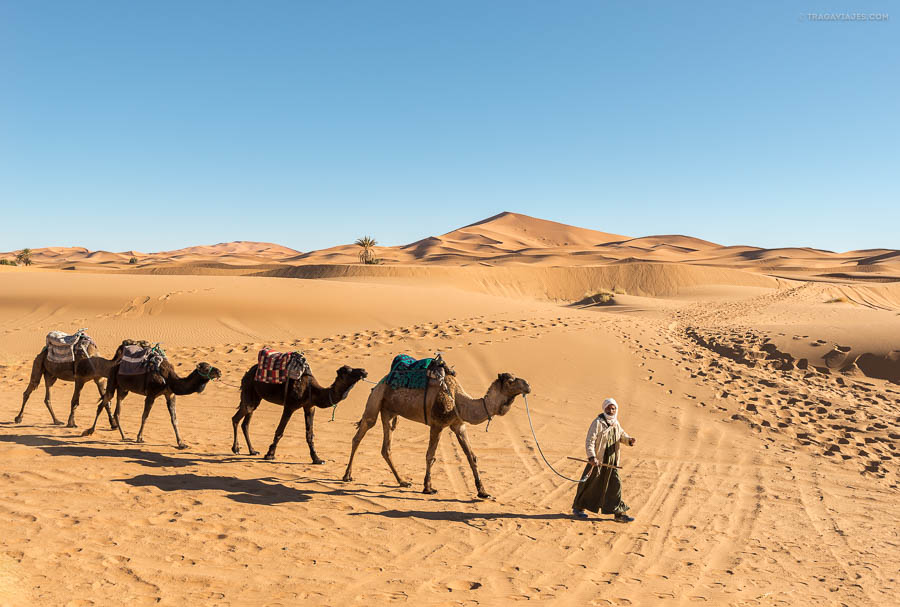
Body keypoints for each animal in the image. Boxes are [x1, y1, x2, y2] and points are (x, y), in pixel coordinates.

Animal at [81, 358, 221, 448]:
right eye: (206, 368)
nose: (219, 371)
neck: (169, 379)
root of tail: (115, 365)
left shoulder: (170, 394)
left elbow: (174, 419)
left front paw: (181, 443)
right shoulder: (151, 394)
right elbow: (145, 416)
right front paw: (139, 438)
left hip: (123, 389)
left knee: (117, 411)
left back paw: (124, 436)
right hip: (112, 381)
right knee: (102, 404)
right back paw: (88, 431)